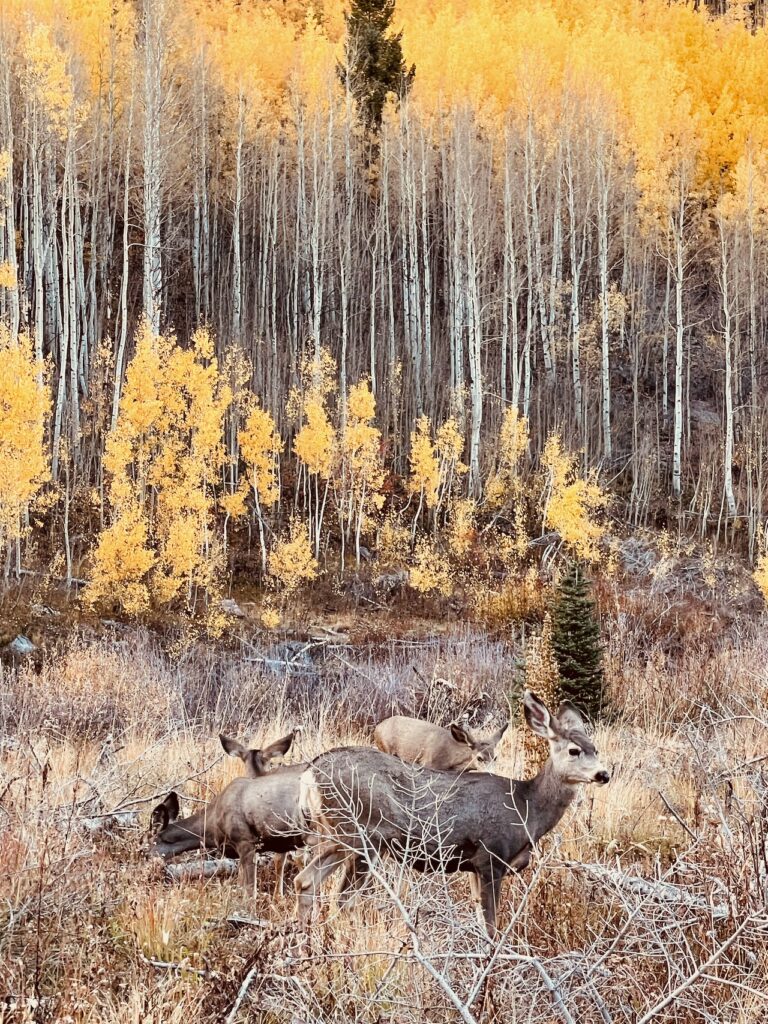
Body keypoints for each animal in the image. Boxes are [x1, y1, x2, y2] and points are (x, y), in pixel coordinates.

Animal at [374, 716, 512, 770]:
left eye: (496, 757)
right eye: (479, 758)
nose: (492, 773)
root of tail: (377, 727)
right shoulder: (428, 763)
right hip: (385, 747)